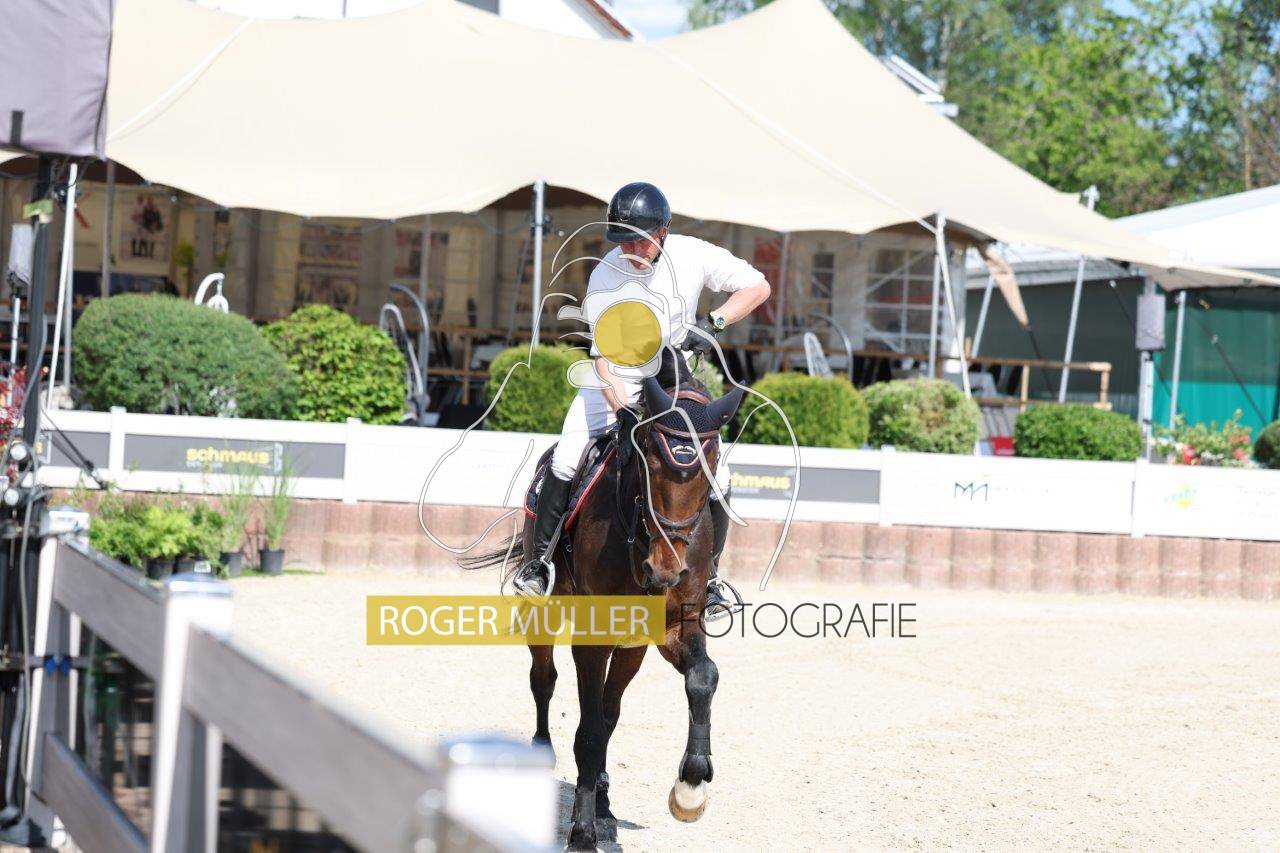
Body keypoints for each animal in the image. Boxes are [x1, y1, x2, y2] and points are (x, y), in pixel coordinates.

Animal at [465, 370, 744, 851]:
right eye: (649, 464)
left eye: (709, 475)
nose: (665, 569)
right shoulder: (591, 640)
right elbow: (589, 732)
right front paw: (581, 833)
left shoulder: (676, 626)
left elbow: (702, 678)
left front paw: (691, 786)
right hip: (547, 615)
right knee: (544, 679)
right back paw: (547, 757)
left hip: (631, 647)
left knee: (611, 711)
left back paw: (605, 802)